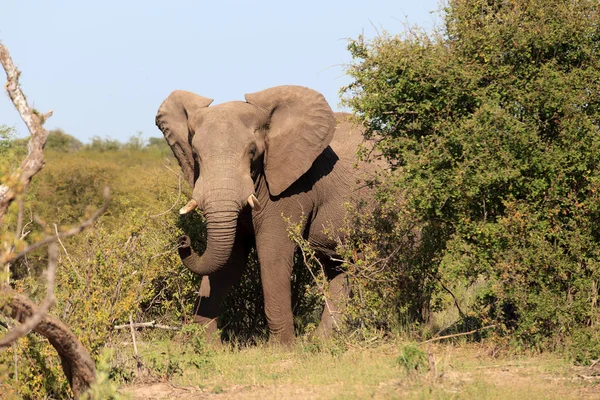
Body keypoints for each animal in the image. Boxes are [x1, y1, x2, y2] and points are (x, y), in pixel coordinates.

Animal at [155, 83, 372, 344]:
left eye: (252, 152)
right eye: (195, 154)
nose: (183, 240)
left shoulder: (293, 187)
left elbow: (272, 253)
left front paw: (282, 348)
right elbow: (230, 261)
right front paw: (206, 345)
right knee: (337, 268)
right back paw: (323, 341)